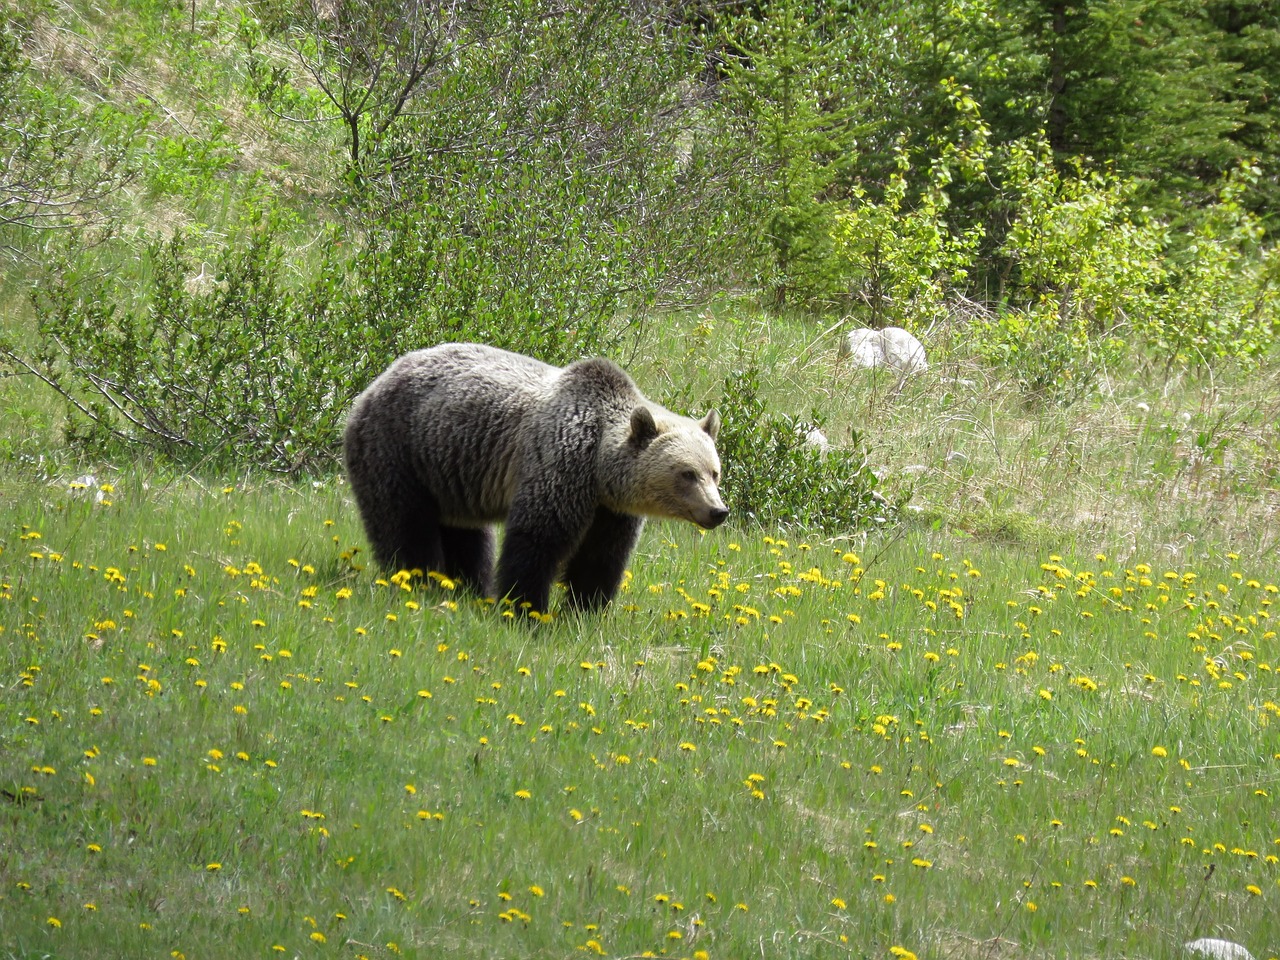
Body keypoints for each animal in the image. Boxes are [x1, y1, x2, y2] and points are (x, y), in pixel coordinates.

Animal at [340, 345, 727, 616]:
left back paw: (468, 588)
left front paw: (586, 611)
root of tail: (374, 383)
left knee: (467, 537)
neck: (599, 469)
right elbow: (537, 540)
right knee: (404, 525)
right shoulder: (559, 464)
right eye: (687, 473)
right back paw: (416, 581)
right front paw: (524, 609)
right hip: (398, 450)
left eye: (714, 471)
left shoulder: (611, 511)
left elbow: (601, 557)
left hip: (452, 475)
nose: (717, 511)